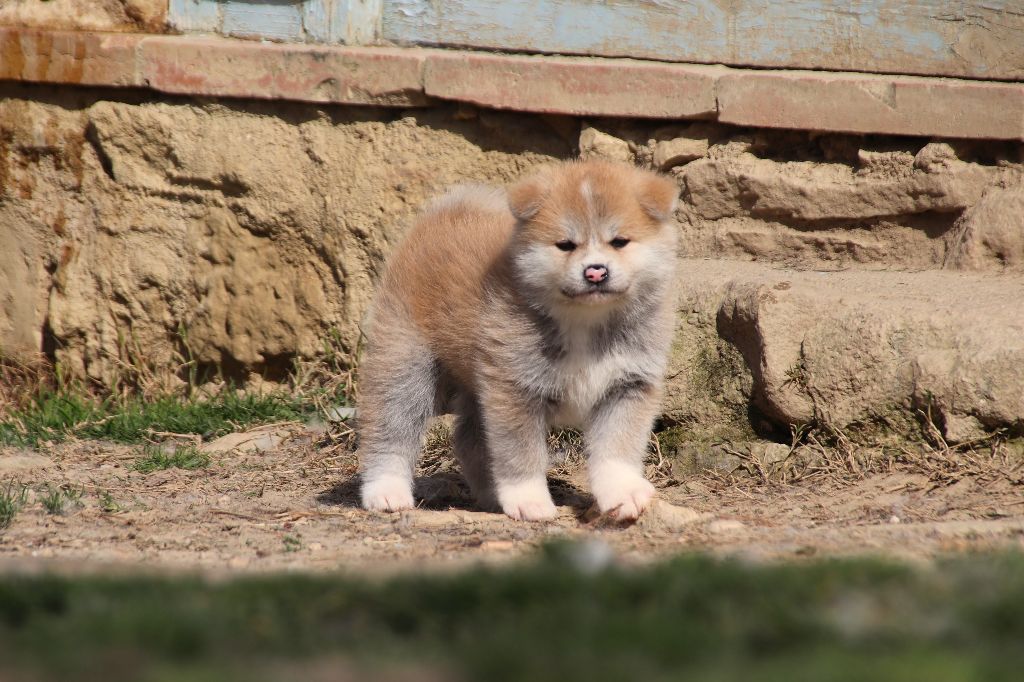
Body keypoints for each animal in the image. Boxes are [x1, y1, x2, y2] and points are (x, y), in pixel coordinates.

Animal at [360, 160, 679, 520]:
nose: (596, 271)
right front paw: (529, 499)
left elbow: (617, 450)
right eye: (565, 245)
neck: (584, 321)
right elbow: (520, 454)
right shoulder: (514, 389)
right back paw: (386, 491)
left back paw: (490, 496)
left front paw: (623, 492)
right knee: (389, 431)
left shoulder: (627, 385)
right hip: (404, 365)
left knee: (470, 441)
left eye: (620, 241)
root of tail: (444, 215)